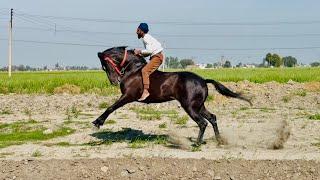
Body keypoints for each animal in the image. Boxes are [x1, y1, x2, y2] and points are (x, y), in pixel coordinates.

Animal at [91, 46, 251, 145]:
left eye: (105, 65)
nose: (114, 81)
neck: (133, 70)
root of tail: (203, 80)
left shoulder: (128, 96)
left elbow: (111, 107)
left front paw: (98, 122)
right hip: (199, 106)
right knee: (212, 118)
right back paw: (219, 140)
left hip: (189, 106)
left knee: (202, 123)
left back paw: (197, 144)